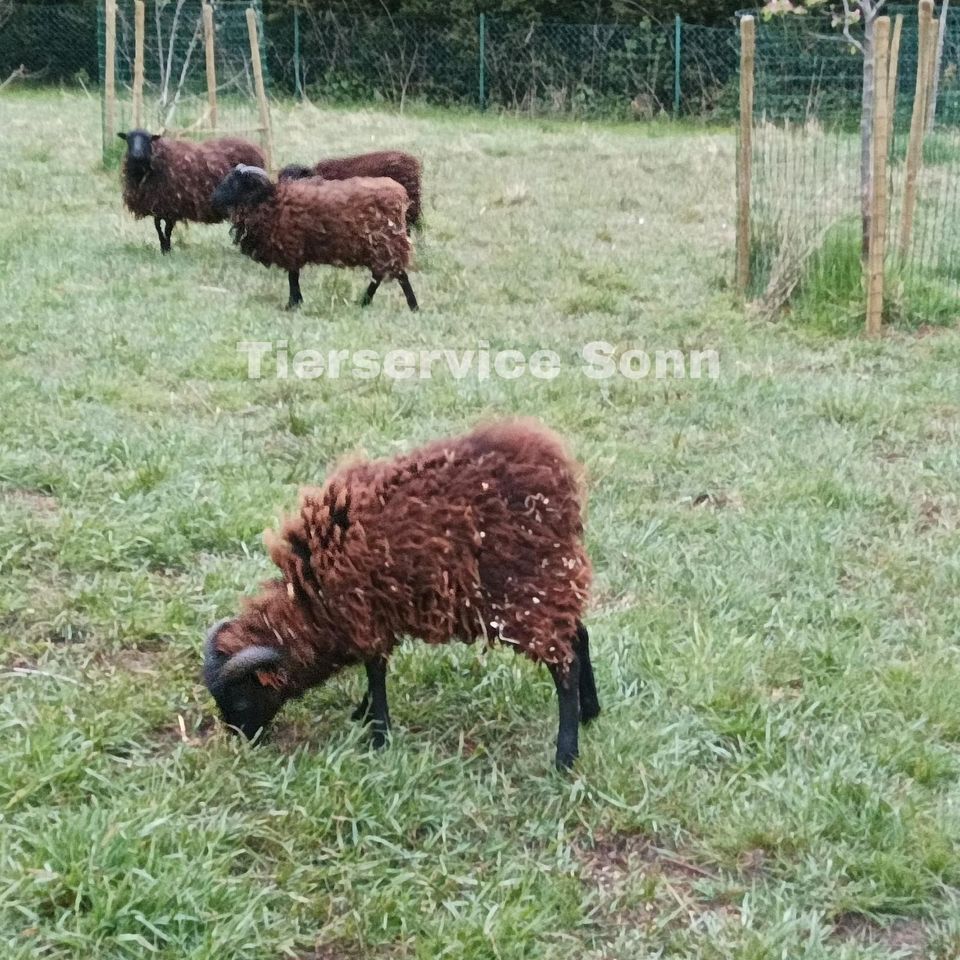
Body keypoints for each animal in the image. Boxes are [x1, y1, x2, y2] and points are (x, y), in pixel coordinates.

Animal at [119, 129, 266, 253]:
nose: (137, 154)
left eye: (147, 139)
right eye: (128, 139)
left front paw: (167, 249)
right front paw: (163, 247)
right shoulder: (158, 205)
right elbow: (158, 227)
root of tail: (254, 147)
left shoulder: (171, 206)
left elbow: (167, 229)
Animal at [202, 420, 596, 772]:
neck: (310, 604)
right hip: (550, 580)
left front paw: (379, 735)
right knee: (579, 636)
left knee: (564, 665)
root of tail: (560, 473)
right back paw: (590, 712)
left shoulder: (364, 614)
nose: (244, 742)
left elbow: (375, 672)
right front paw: (363, 715)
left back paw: (565, 757)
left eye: (240, 700)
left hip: (525, 591)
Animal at [212, 164, 418, 312]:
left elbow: (293, 277)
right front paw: (295, 302)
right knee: (380, 275)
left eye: (236, 183)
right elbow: (294, 276)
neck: (271, 201)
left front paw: (293, 304)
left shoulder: (292, 246)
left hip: (386, 243)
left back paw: (411, 306)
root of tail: (400, 194)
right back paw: (365, 302)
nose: (213, 199)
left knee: (398, 275)